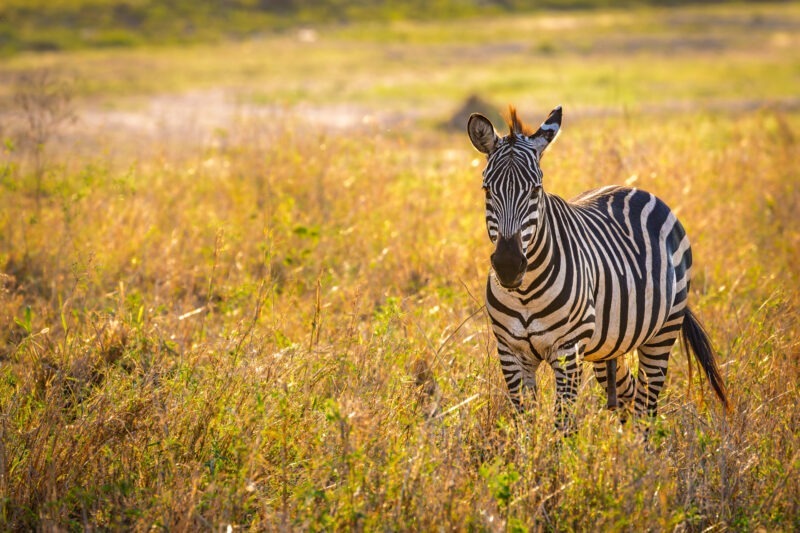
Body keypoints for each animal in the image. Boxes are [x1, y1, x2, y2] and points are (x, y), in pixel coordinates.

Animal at [466, 106, 728, 430]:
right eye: (487, 190)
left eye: (536, 190)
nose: (509, 265)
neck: (525, 292)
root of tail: (633, 188)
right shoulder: (510, 352)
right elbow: (524, 424)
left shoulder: (567, 352)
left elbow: (563, 427)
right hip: (607, 345)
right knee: (630, 398)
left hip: (663, 332)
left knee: (646, 407)